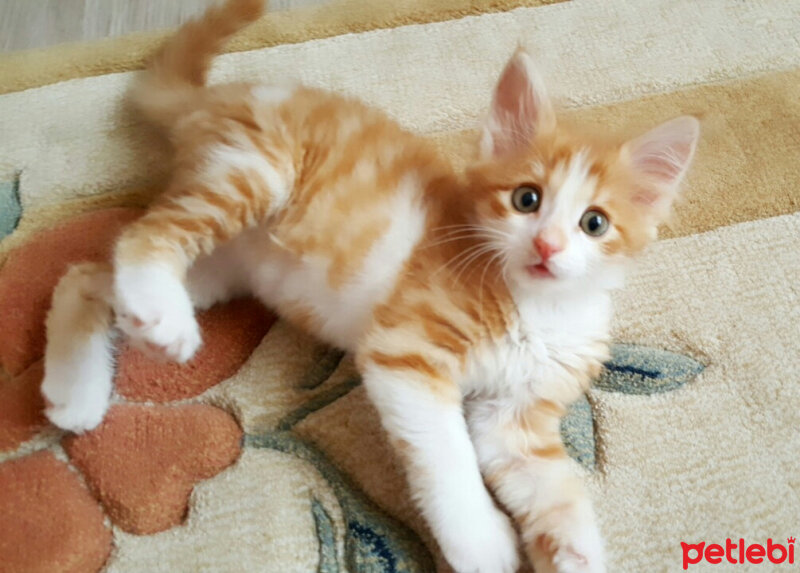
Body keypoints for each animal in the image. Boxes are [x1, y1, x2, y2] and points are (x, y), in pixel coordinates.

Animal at [39, 1, 700, 572]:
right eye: (526, 200)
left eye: (595, 223)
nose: (547, 247)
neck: (539, 306)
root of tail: (219, 95)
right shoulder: (406, 354)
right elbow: (449, 455)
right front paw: (482, 542)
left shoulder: (518, 418)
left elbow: (555, 486)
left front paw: (575, 551)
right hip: (252, 169)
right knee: (142, 237)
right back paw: (159, 316)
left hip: (223, 268)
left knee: (86, 273)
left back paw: (76, 390)